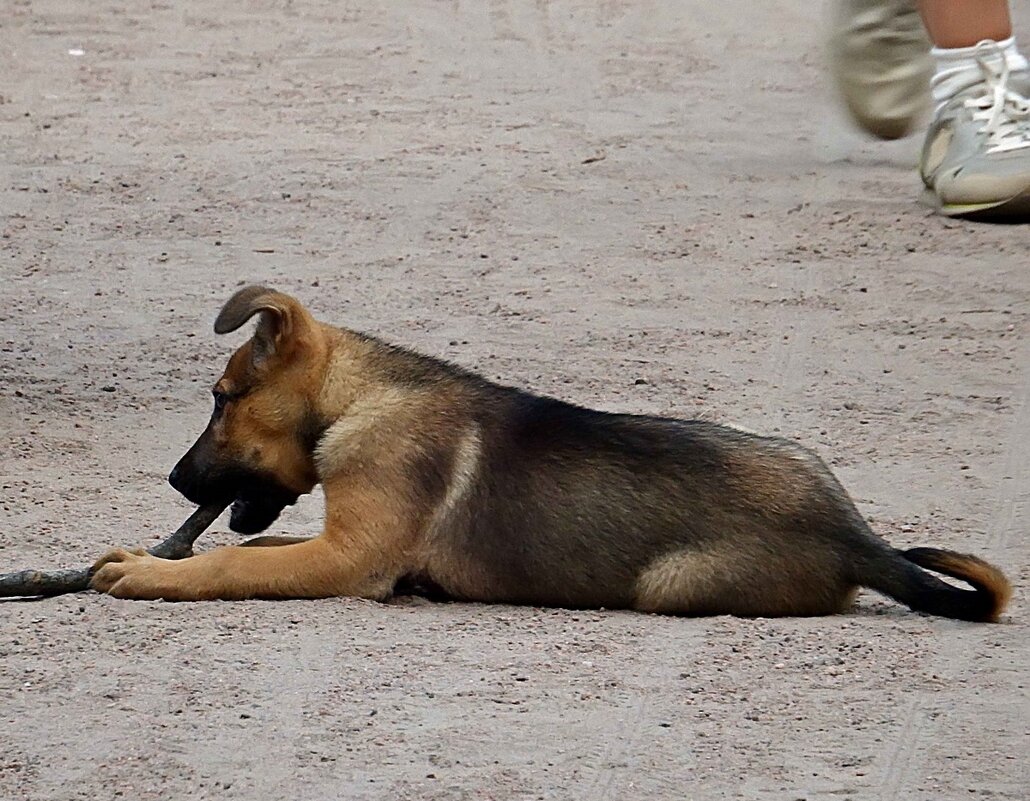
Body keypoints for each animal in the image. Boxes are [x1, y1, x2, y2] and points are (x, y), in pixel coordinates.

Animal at [92, 284, 1009, 621]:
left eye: (221, 398)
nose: (174, 479)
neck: (359, 397)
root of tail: (857, 536)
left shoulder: (348, 559)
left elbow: (233, 561)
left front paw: (153, 572)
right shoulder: (343, 542)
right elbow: (263, 544)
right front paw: (151, 553)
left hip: (672, 584)